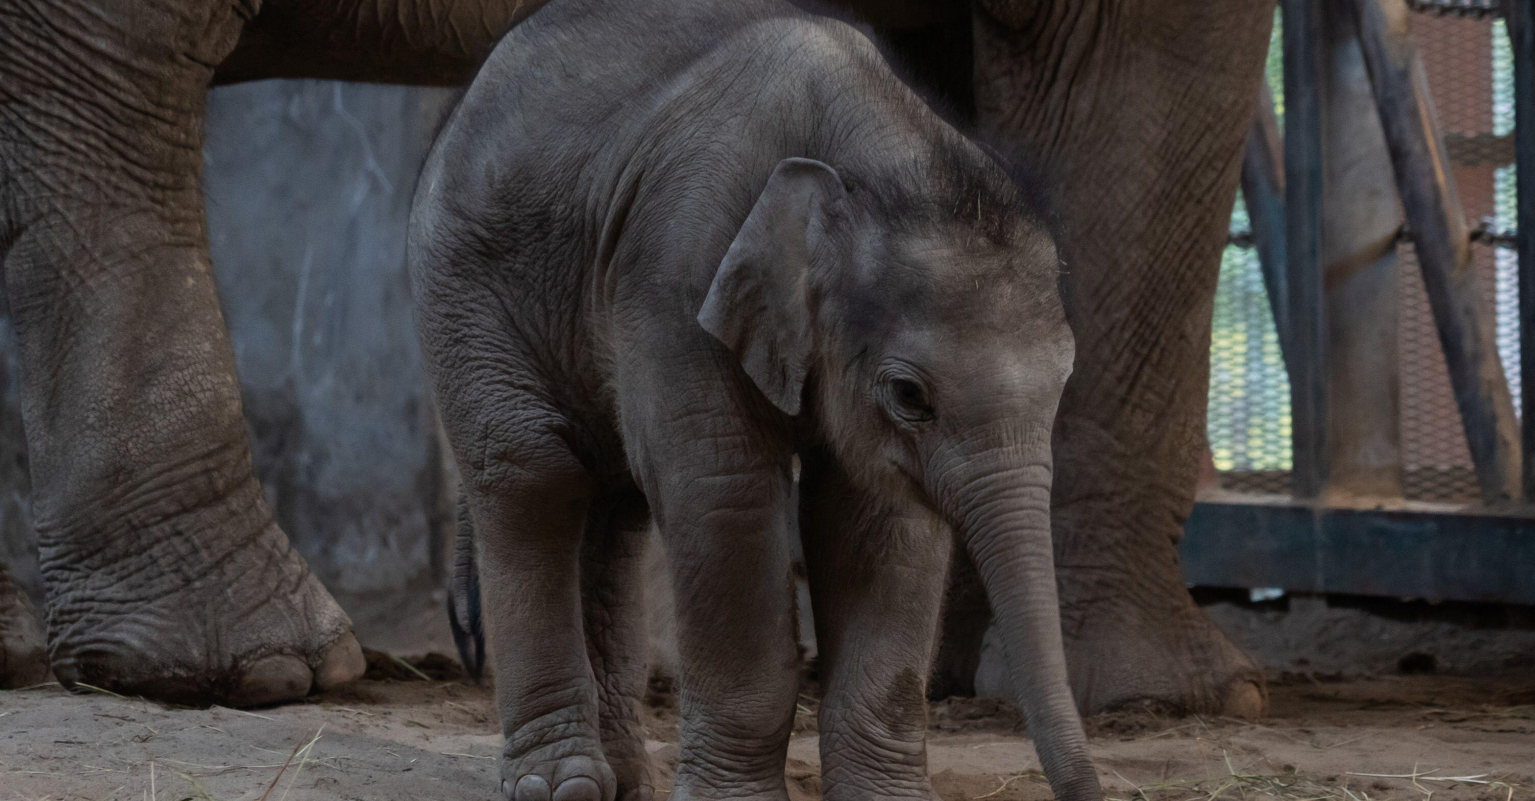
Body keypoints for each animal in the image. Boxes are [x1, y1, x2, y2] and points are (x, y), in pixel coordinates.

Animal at [407, 2, 1096, 801]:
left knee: (611, 506)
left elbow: (876, 520)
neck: (870, 146)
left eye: (1064, 379)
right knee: (532, 473)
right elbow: (722, 493)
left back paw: (625, 783)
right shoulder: (677, 273)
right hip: (463, 286)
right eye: (909, 394)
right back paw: (565, 786)